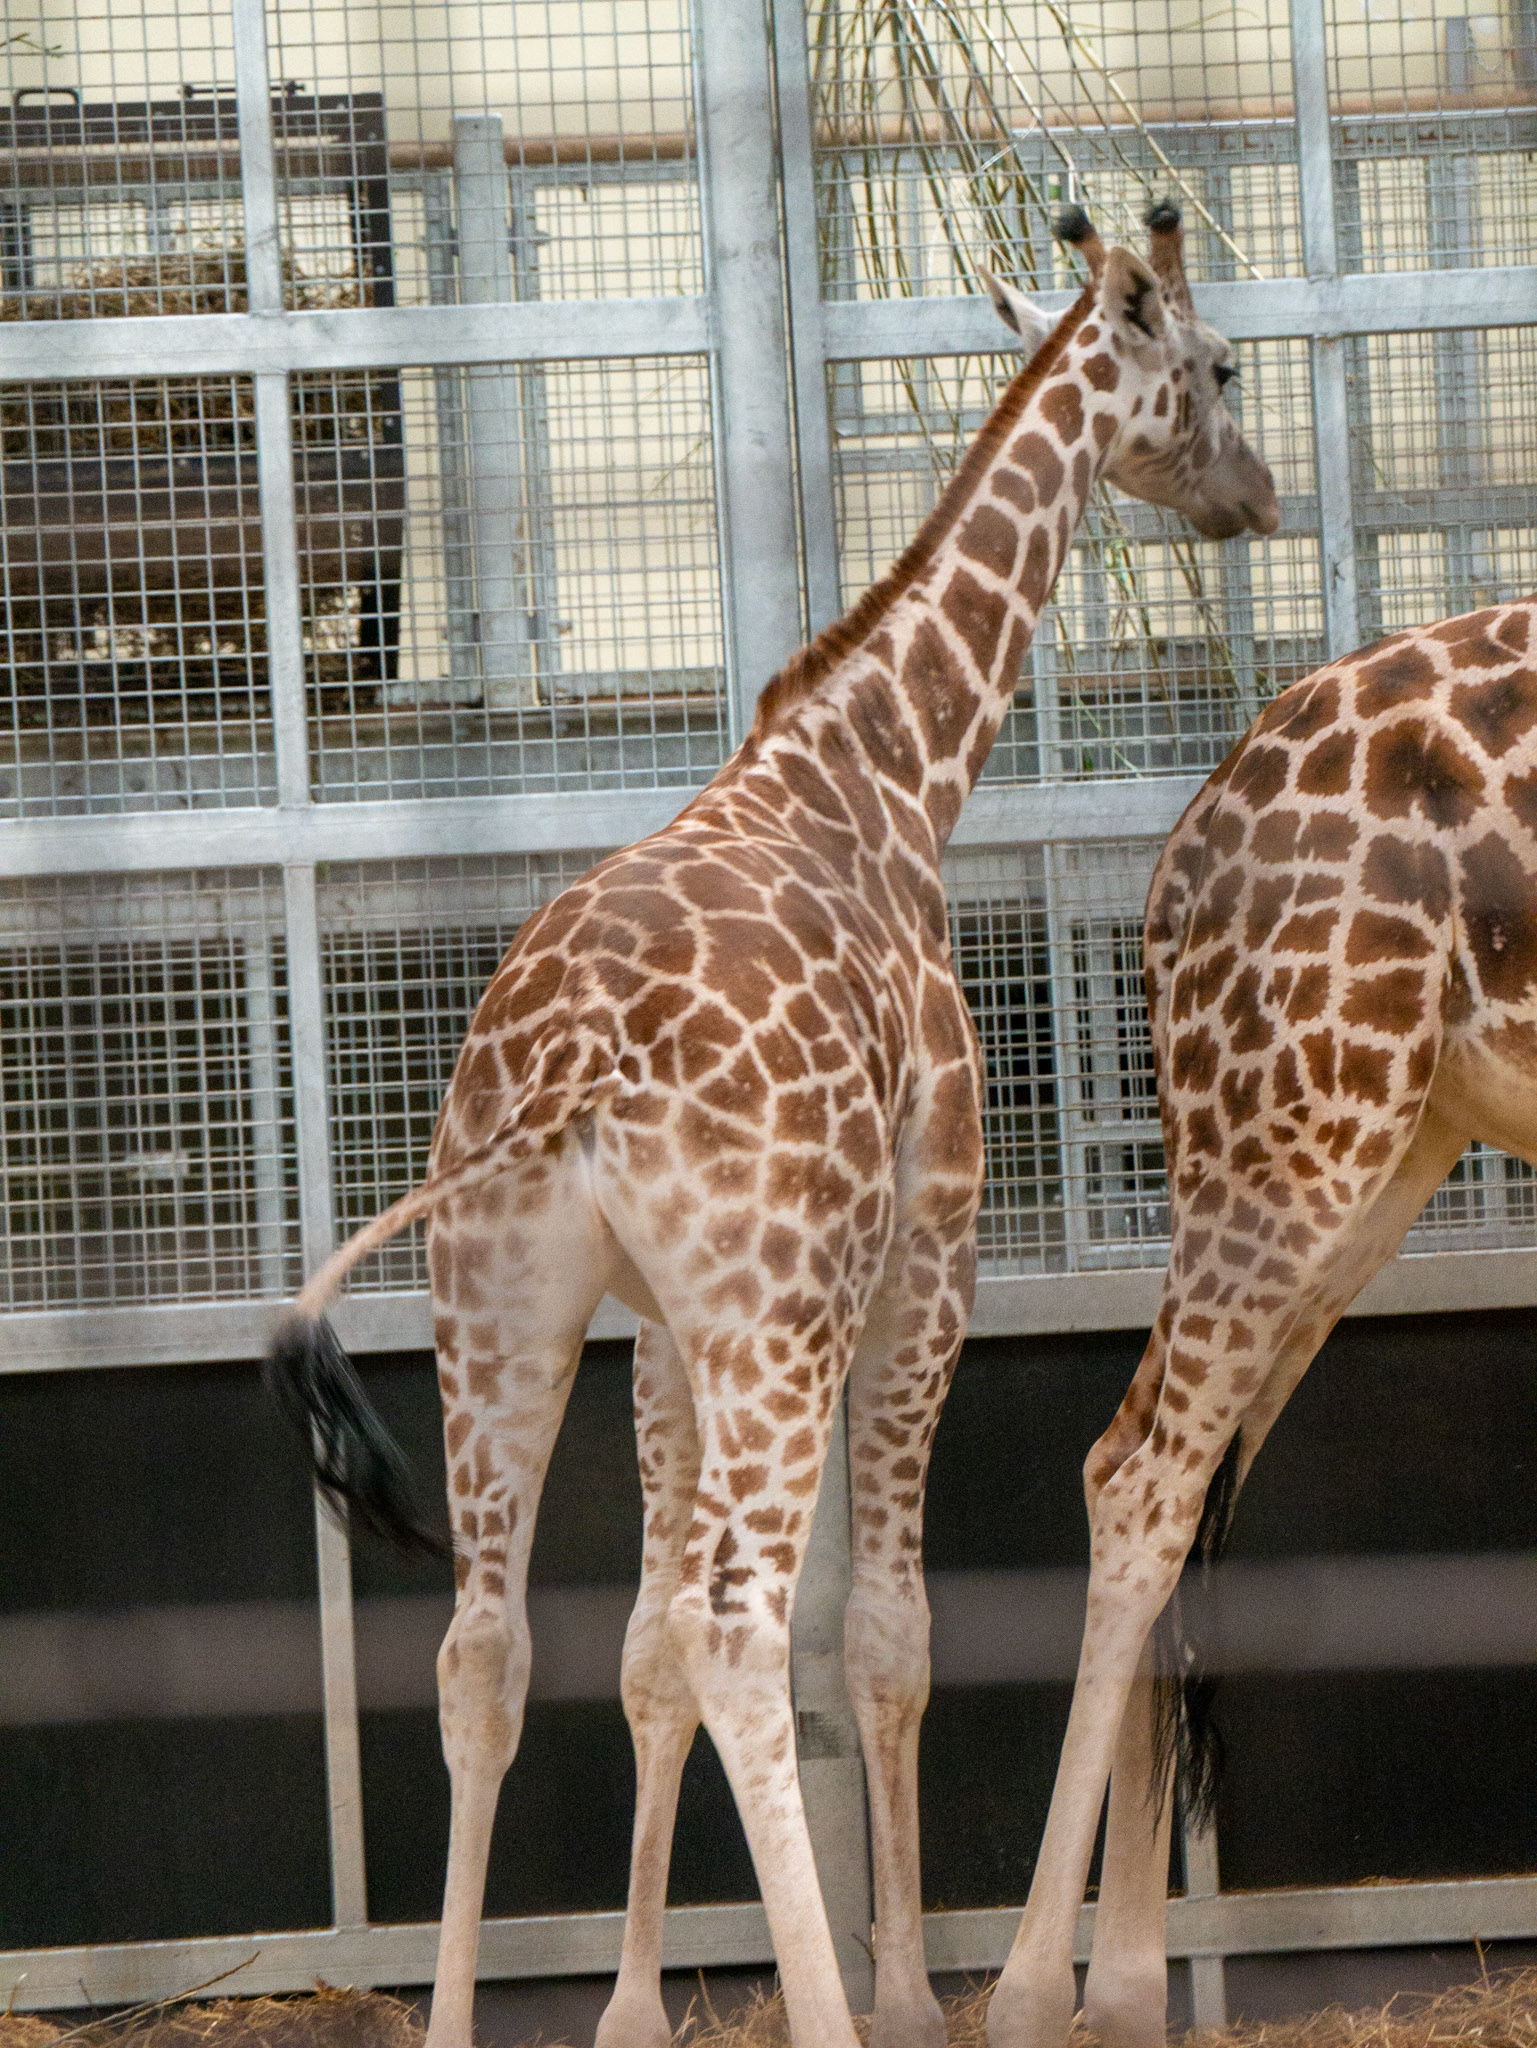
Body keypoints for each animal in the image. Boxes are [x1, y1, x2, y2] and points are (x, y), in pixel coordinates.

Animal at [265, 204, 1278, 2048]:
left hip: (493, 1307)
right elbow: (879, 1631)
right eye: (1221, 366)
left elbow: (640, 1648)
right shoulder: (929, 1254)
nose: (1258, 497)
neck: (885, 766)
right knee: (745, 1627)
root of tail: (573, 1064)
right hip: (780, 1313)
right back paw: (826, 2011)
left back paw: (447, 2016)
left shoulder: (657, 1327)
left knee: (485, 1643)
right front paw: (910, 1996)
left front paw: (635, 2008)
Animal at [984, 597, 1537, 2048]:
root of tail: (1183, 855)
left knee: (1131, 1461)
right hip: (1300, 1123)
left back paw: (1126, 1998)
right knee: (1150, 1485)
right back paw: (1027, 1997)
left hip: (1363, 1145)